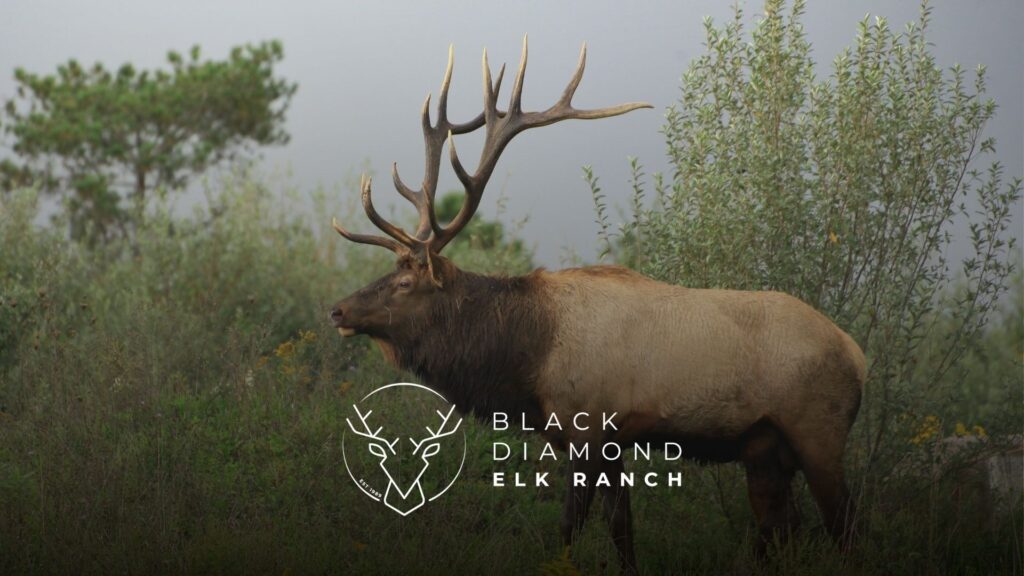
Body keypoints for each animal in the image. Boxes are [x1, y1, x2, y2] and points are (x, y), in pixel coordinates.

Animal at [329, 37, 865, 575]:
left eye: (404, 282)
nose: (337, 310)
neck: (528, 359)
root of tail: (858, 356)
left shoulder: (588, 427)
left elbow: (572, 524)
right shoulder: (608, 442)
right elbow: (621, 526)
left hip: (818, 432)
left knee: (844, 527)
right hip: (764, 449)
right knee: (781, 527)